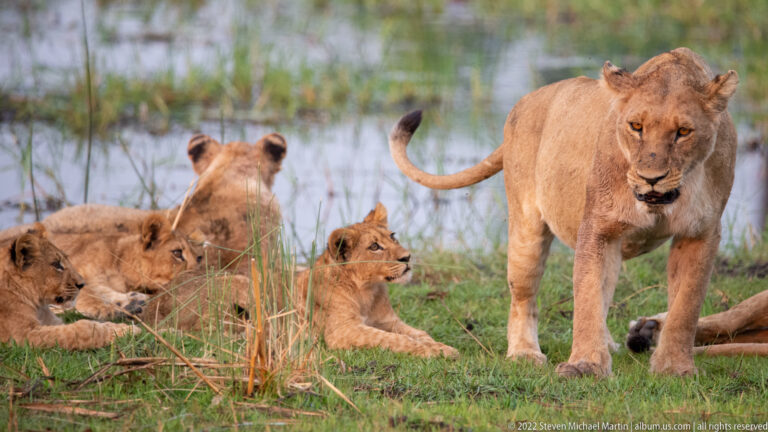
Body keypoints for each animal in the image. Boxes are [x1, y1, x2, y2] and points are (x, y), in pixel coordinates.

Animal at [0, 224, 139, 349]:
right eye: (57, 264)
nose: (82, 284)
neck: (38, 305)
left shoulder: (52, 322)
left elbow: (95, 324)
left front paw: (124, 328)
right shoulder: (23, 336)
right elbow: (83, 329)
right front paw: (128, 330)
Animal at [296, 203, 458, 358]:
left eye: (393, 237)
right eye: (374, 246)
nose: (407, 257)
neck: (366, 290)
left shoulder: (388, 321)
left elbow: (419, 333)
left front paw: (441, 346)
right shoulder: (341, 331)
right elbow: (392, 338)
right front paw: (436, 351)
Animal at [389, 48, 738, 376]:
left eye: (683, 132)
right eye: (636, 126)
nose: (651, 178)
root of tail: (525, 100)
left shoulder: (701, 231)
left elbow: (685, 306)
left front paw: (674, 368)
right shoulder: (598, 225)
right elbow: (586, 298)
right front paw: (586, 365)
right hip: (526, 228)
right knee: (523, 297)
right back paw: (524, 353)